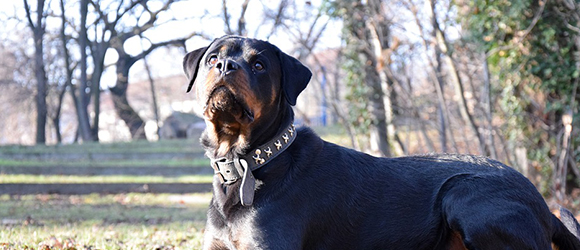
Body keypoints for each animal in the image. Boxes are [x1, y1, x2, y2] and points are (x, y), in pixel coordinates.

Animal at [182, 34, 580, 248]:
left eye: (260, 65)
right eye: (212, 58)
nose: (226, 67)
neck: (249, 161)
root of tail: (544, 206)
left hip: (464, 194)